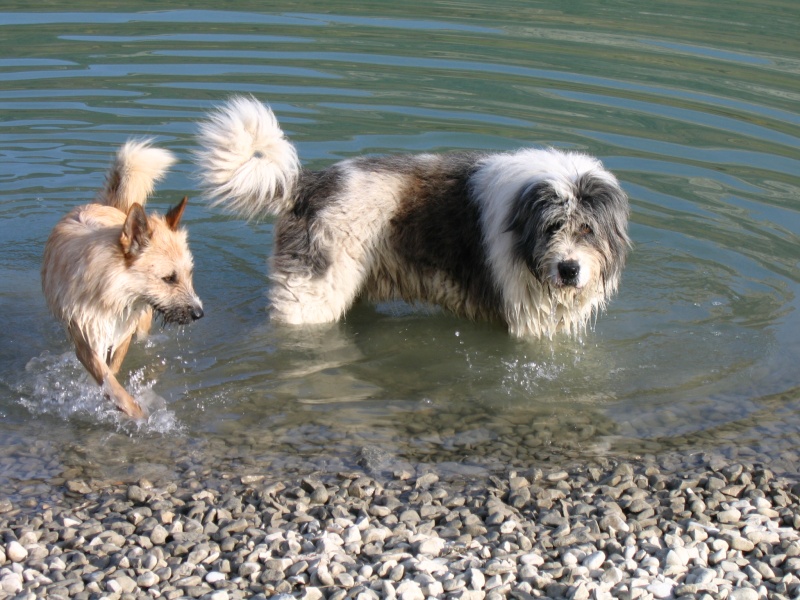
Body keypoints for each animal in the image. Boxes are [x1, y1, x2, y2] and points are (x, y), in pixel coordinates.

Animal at [41, 141, 205, 420]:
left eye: (188, 274)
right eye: (169, 278)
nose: (199, 313)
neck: (110, 288)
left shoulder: (124, 327)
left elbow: (113, 367)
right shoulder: (83, 333)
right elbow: (105, 376)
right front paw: (130, 408)